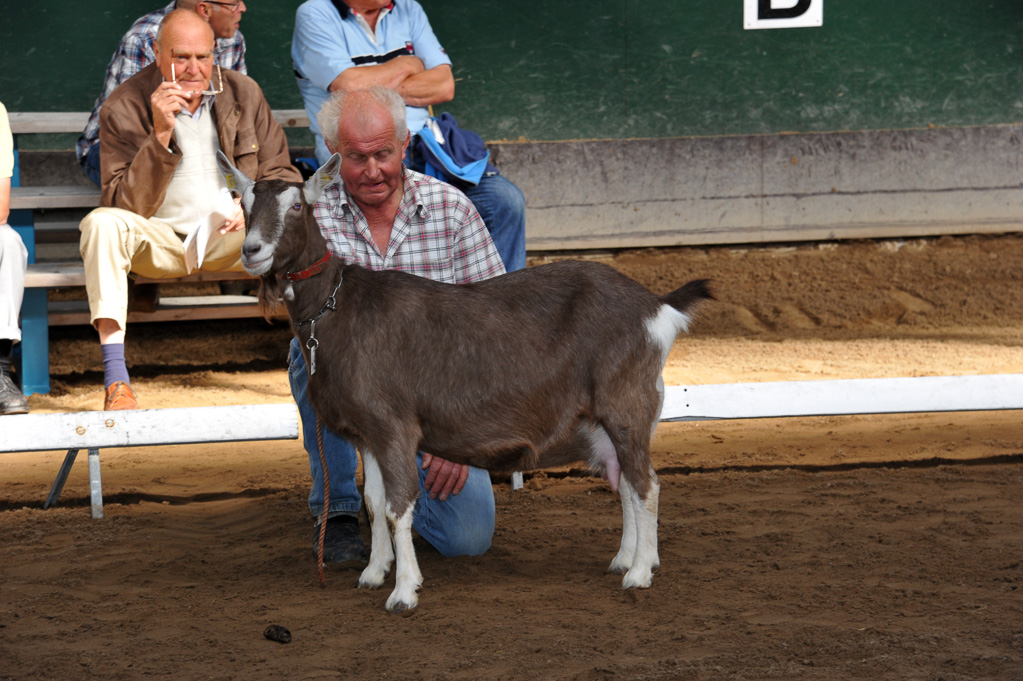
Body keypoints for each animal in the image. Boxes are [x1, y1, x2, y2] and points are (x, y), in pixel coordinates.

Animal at [215, 151, 712, 613]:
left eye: (298, 206)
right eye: (244, 202)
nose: (252, 250)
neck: (337, 306)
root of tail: (655, 306)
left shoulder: (394, 425)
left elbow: (399, 506)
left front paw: (404, 592)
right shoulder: (366, 433)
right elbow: (374, 502)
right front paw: (374, 572)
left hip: (626, 402)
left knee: (646, 484)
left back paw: (640, 573)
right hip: (604, 416)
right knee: (625, 480)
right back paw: (625, 559)